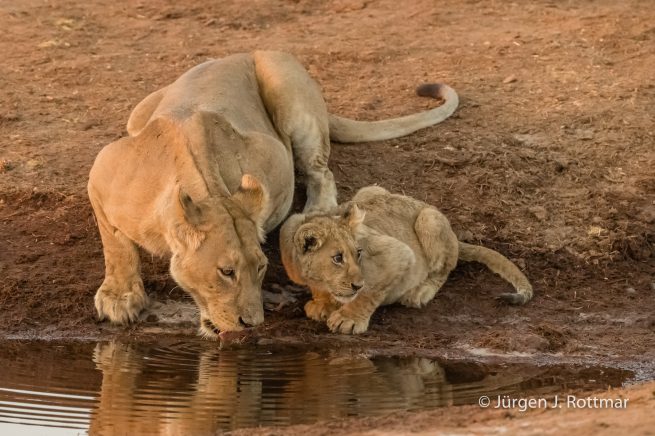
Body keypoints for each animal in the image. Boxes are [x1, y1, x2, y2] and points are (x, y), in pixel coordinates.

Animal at [87, 51, 459, 337]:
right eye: (226, 272)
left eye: (262, 267)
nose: (251, 324)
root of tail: (236, 54)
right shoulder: (102, 171)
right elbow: (115, 244)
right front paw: (120, 297)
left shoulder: (269, 156)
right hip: (138, 111)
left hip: (284, 85)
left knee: (321, 171)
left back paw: (319, 209)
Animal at [280, 186, 533, 334]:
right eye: (337, 258)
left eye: (358, 253)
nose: (356, 285)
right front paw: (322, 304)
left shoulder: (397, 252)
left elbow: (371, 292)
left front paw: (347, 319)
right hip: (368, 191)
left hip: (429, 220)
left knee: (444, 269)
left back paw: (420, 292)